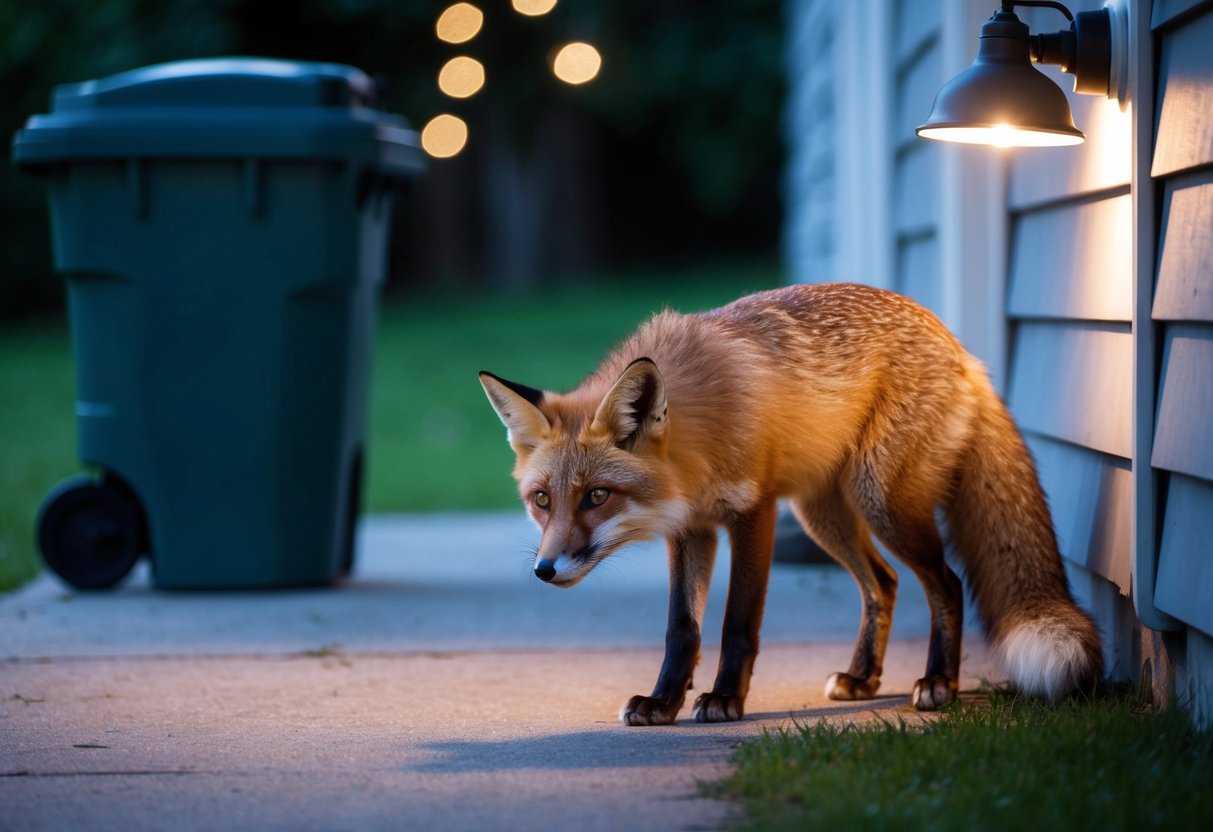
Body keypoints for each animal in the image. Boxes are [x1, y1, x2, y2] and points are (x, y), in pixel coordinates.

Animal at [479, 282, 1102, 725]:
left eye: (597, 496)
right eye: (541, 500)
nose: (544, 569)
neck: (698, 440)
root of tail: (960, 348)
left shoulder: (753, 512)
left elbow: (737, 622)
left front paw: (724, 700)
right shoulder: (691, 529)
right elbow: (682, 629)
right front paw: (663, 702)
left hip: (882, 505)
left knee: (945, 584)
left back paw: (939, 684)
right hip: (824, 516)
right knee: (883, 583)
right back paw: (862, 678)